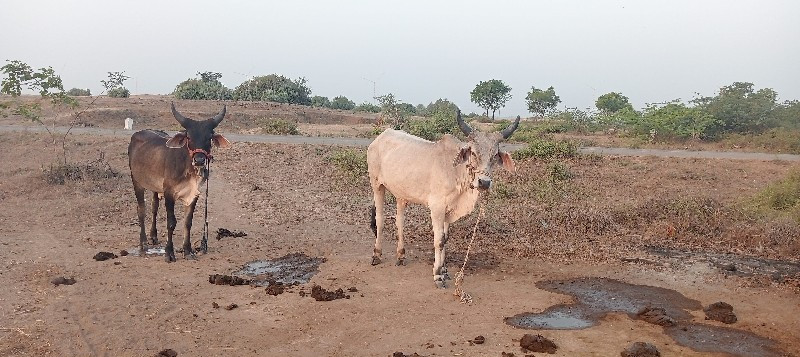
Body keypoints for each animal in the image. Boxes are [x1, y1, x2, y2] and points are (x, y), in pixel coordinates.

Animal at [126, 103, 230, 262]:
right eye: (189, 137)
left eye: (209, 137)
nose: (199, 160)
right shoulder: (169, 193)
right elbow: (171, 223)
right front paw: (169, 253)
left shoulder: (194, 194)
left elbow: (188, 222)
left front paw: (187, 251)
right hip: (136, 181)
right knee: (141, 210)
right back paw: (143, 242)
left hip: (156, 188)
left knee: (154, 207)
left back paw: (153, 236)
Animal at [368, 112, 520, 288]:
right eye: (473, 153)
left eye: (495, 155)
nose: (484, 182)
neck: (456, 172)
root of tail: (381, 136)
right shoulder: (437, 208)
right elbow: (439, 240)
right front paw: (438, 274)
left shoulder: (449, 209)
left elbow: (446, 239)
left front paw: (445, 270)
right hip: (376, 184)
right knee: (380, 219)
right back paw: (376, 255)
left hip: (401, 194)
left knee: (400, 221)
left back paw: (401, 256)